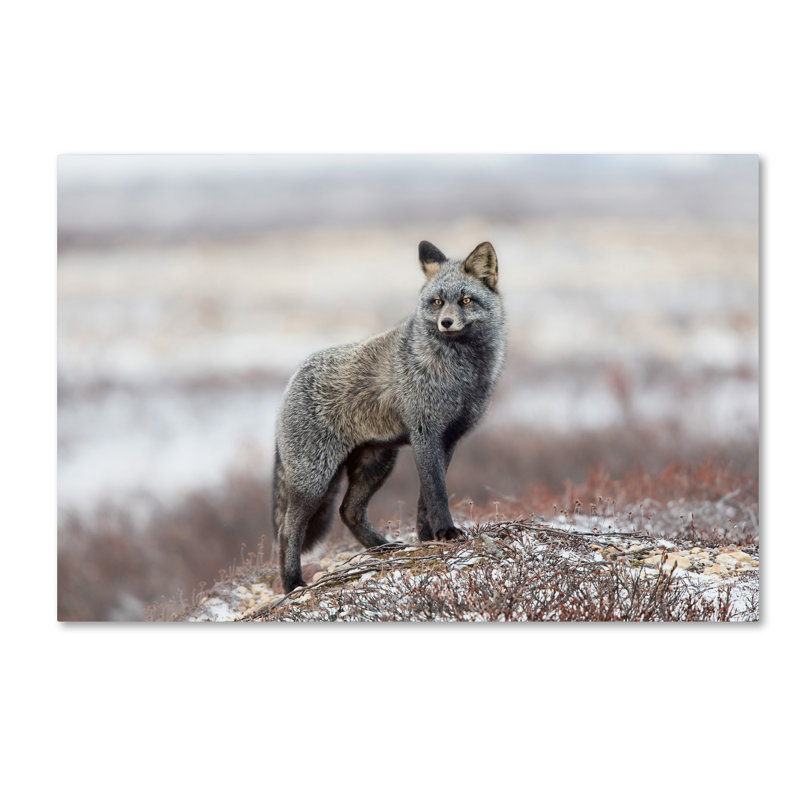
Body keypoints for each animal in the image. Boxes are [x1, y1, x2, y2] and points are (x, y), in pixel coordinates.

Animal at [272, 240, 505, 592]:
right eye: (437, 302)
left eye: (466, 300)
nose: (446, 323)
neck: (460, 374)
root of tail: (291, 379)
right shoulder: (426, 434)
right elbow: (437, 492)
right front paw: (446, 532)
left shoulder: (449, 438)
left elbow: (426, 498)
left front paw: (428, 538)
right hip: (315, 480)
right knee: (288, 530)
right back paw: (293, 583)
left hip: (376, 464)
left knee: (348, 511)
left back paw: (382, 548)